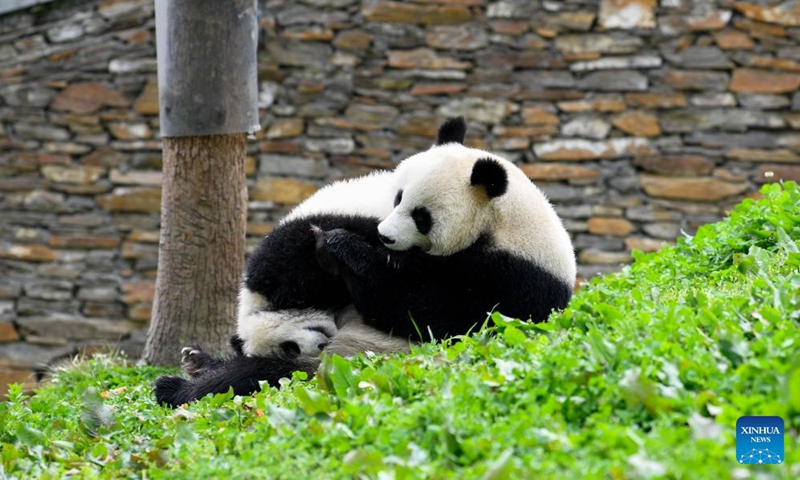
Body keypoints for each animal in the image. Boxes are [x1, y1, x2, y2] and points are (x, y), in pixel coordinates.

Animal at [154, 117, 576, 407]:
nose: (385, 236)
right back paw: (195, 363)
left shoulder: (510, 278)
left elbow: (428, 312)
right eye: (398, 197)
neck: (502, 223)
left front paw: (340, 251)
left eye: (421, 217)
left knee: (264, 377)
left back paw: (178, 386)